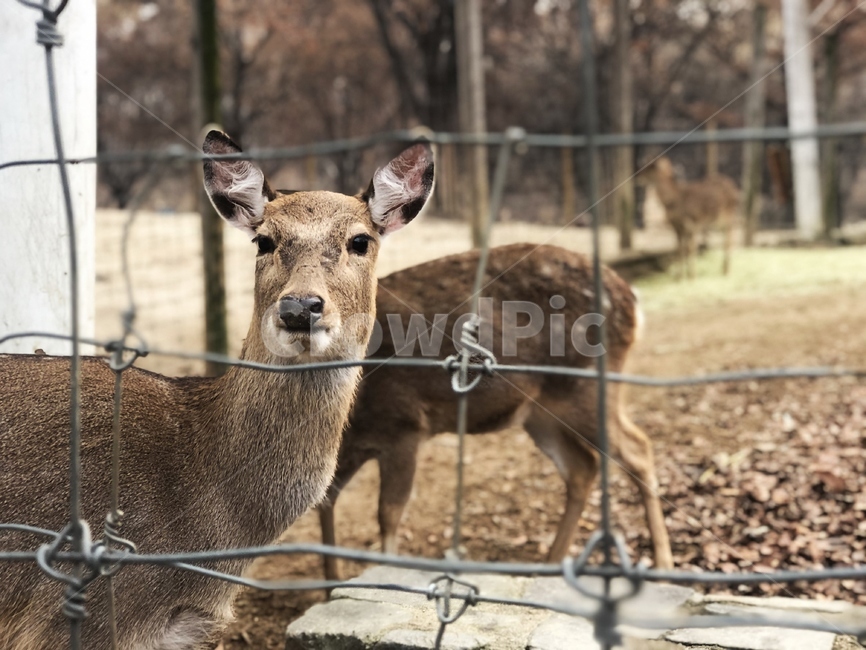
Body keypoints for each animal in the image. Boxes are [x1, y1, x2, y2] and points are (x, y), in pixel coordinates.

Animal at [317, 243, 673, 581]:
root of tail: (632, 300)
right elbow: (326, 500)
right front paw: (330, 583)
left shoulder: (404, 426)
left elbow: (388, 512)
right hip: (541, 413)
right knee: (582, 466)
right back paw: (551, 562)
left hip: (586, 388)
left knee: (638, 448)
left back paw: (664, 564)